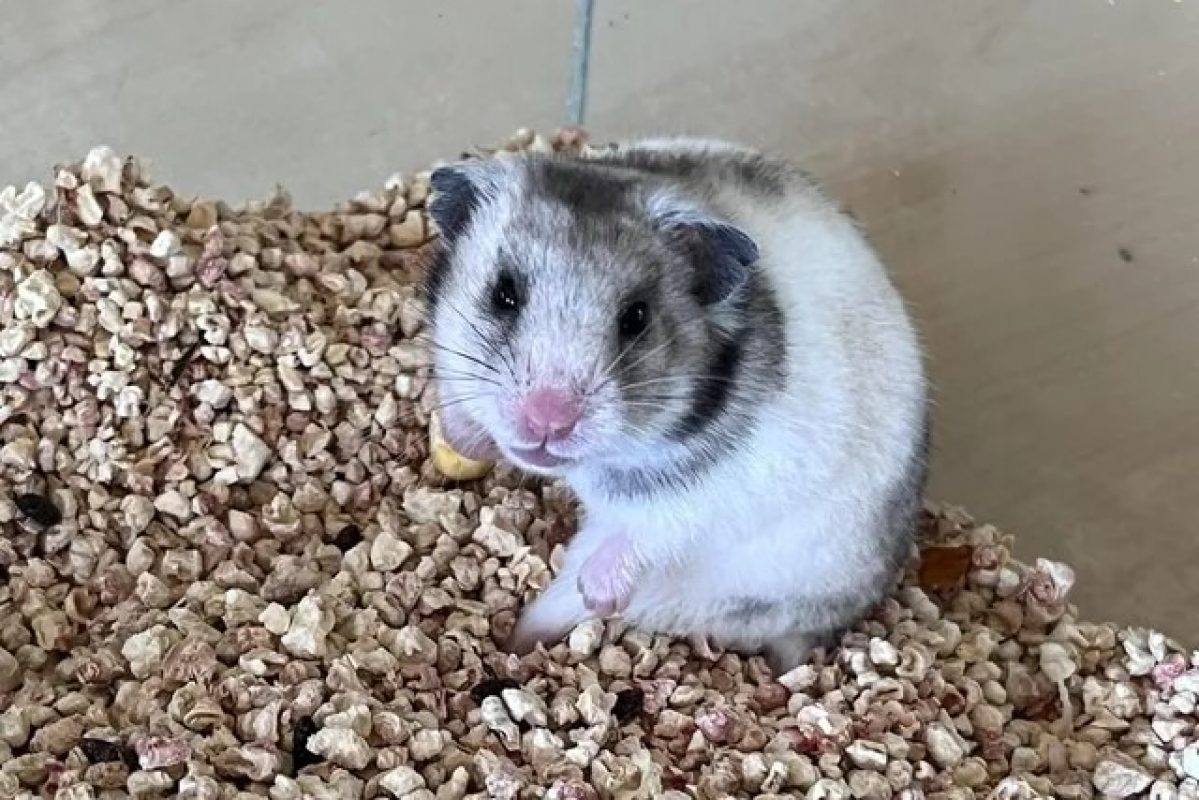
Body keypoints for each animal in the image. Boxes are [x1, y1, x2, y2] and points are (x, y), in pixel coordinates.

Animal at [423, 138, 928, 672]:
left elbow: (651, 531)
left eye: (636, 317)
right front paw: (464, 441)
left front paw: (600, 595)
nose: (548, 422)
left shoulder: (706, 499)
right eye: (504, 294)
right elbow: (458, 400)